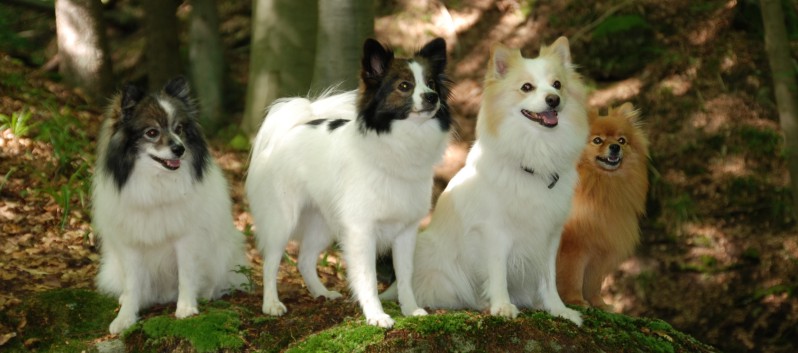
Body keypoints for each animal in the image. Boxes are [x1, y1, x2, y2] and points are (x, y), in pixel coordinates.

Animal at [91, 76, 247, 332]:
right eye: (152, 132)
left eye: (179, 129)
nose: (179, 149)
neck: (157, 183)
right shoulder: (131, 246)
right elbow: (132, 285)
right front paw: (125, 317)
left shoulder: (186, 239)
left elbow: (187, 275)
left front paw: (186, 308)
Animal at [247, 37, 454, 328]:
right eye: (405, 86)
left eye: (432, 83)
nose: (432, 97)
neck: (399, 142)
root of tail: (290, 130)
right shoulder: (361, 230)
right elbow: (367, 277)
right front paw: (376, 315)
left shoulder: (405, 231)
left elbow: (405, 276)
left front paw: (410, 309)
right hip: (282, 219)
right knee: (271, 261)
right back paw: (271, 303)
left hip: (323, 223)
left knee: (304, 260)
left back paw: (321, 293)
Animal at [398, 36, 592, 324]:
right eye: (526, 87)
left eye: (557, 84)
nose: (553, 100)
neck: (535, 156)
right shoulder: (495, 232)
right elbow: (498, 272)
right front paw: (502, 305)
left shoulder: (548, 235)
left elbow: (549, 278)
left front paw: (559, 310)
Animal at [556, 102, 648, 308]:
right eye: (597, 141)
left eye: (622, 140)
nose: (615, 147)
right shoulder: (574, 246)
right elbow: (572, 277)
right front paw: (575, 300)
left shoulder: (600, 247)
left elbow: (593, 283)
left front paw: (599, 304)